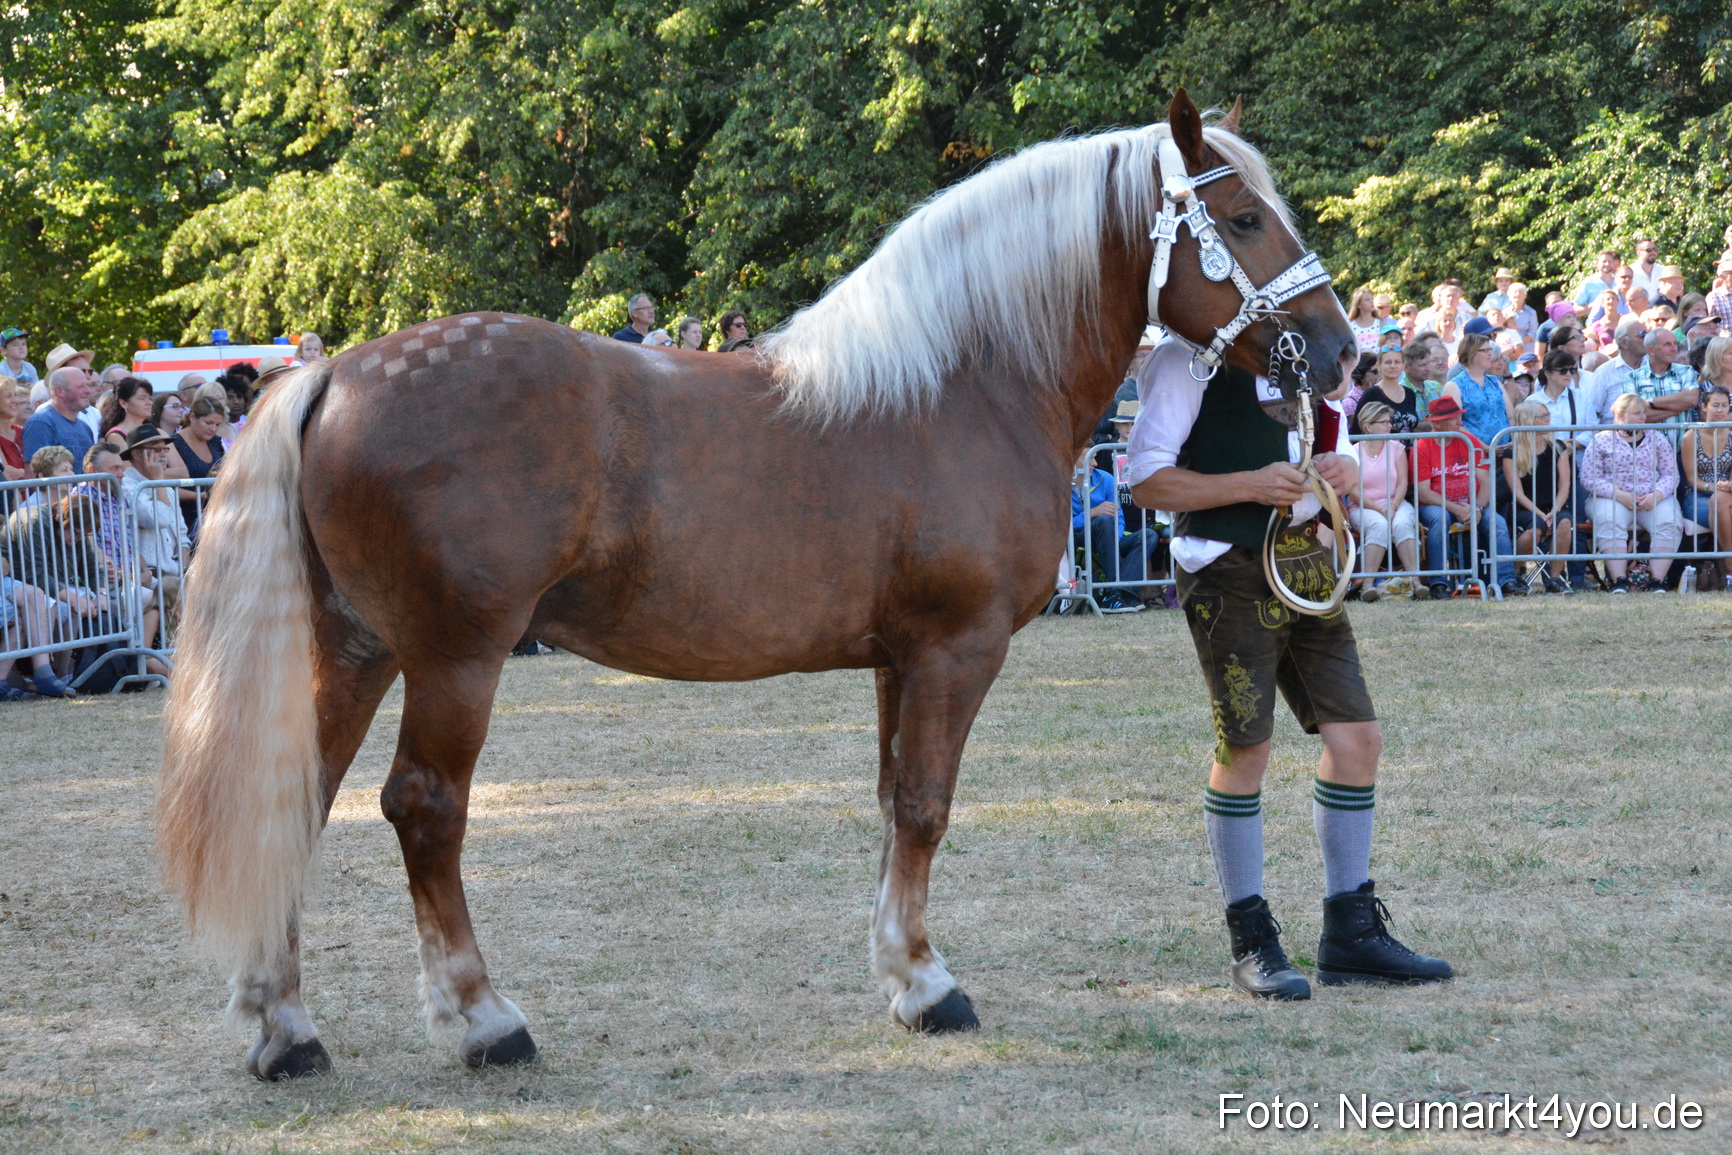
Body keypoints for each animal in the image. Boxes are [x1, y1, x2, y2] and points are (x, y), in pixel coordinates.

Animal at [157, 90, 1355, 1079]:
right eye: (1244, 218)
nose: (1337, 352)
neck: (963, 385)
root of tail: (334, 374)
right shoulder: (956, 648)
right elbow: (927, 806)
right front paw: (931, 989)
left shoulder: (899, 659)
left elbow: (894, 803)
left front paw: (900, 974)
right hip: (456, 657)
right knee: (424, 809)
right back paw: (485, 1020)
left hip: (354, 649)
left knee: (294, 803)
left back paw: (284, 1028)